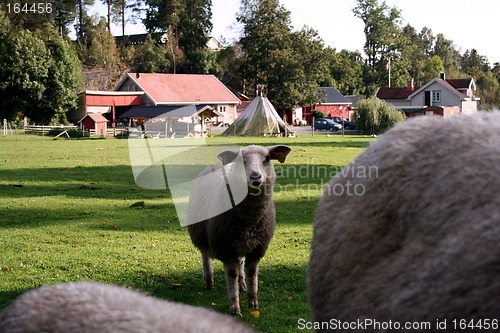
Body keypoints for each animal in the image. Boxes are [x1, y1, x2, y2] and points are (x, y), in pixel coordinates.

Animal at [188, 143, 292, 314]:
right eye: (241, 160)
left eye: (267, 158)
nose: (255, 176)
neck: (249, 221)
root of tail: (217, 164)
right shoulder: (225, 248)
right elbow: (232, 274)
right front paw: (235, 308)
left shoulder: (257, 249)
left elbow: (251, 273)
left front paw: (253, 303)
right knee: (206, 257)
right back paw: (209, 282)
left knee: (240, 263)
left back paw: (242, 285)